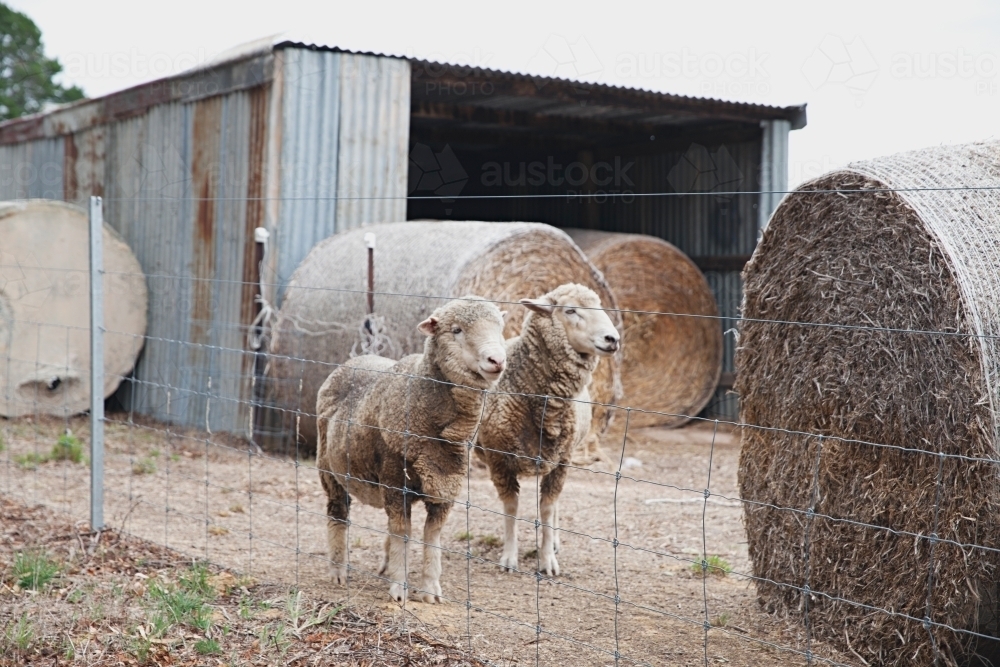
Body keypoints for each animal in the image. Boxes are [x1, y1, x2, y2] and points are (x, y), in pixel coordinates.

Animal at [316, 296, 507, 603]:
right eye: (456, 330)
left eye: (500, 328)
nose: (497, 360)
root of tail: (354, 360)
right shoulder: (395, 482)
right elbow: (403, 533)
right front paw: (399, 590)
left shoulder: (445, 486)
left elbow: (431, 536)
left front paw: (430, 589)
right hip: (328, 469)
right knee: (338, 513)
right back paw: (338, 571)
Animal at [476, 283, 620, 576]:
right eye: (570, 310)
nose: (613, 339)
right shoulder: (499, 459)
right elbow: (511, 507)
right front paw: (509, 556)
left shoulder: (562, 459)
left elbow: (547, 508)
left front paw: (548, 560)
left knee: (553, 505)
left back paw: (553, 541)